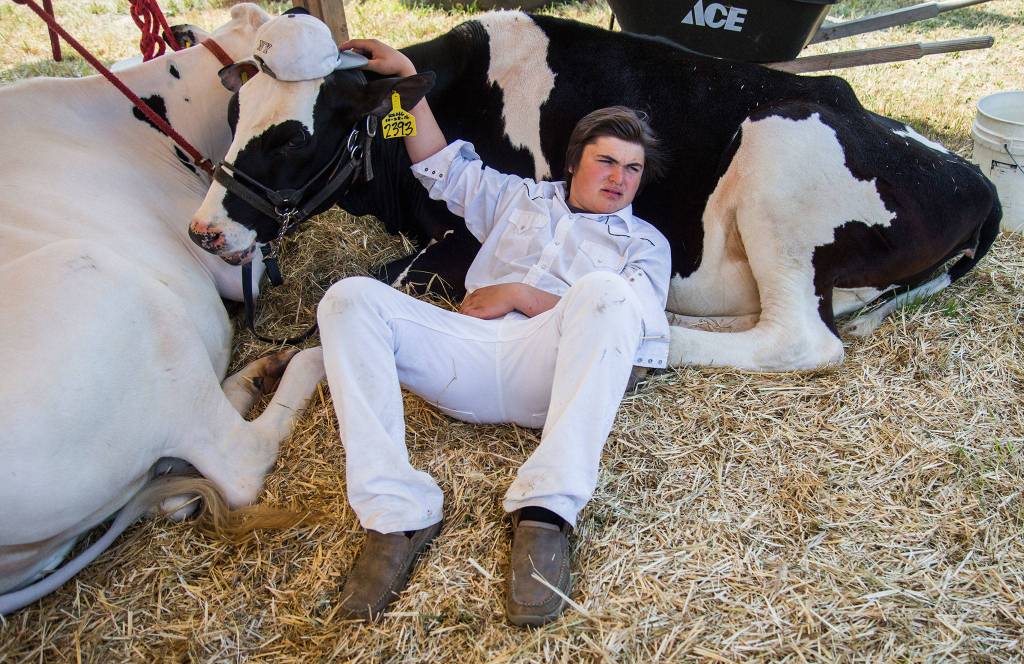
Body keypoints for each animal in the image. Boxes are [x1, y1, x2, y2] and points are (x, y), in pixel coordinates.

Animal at [0, 4, 325, 614]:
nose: (205, 232)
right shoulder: (230, 261)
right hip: (116, 290)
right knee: (238, 462)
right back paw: (304, 361)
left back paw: (253, 375)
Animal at [188, 11, 1001, 373]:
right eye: (232, 115)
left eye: (294, 138)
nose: (203, 231)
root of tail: (974, 178)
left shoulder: (462, 248)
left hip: (780, 155)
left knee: (799, 338)